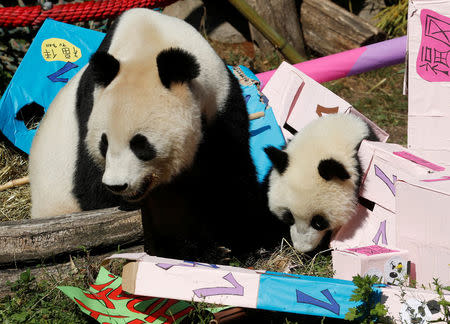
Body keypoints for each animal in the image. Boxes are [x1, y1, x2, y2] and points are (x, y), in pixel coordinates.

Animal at [29, 8, 288, 258]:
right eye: (104, 144)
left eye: (140, 145)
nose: (117, 185)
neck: (148, 45)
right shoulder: (90, 109)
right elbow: (94, 189)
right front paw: (197, 248)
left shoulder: (221, 103)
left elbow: (228, 173)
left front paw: (249, 240)